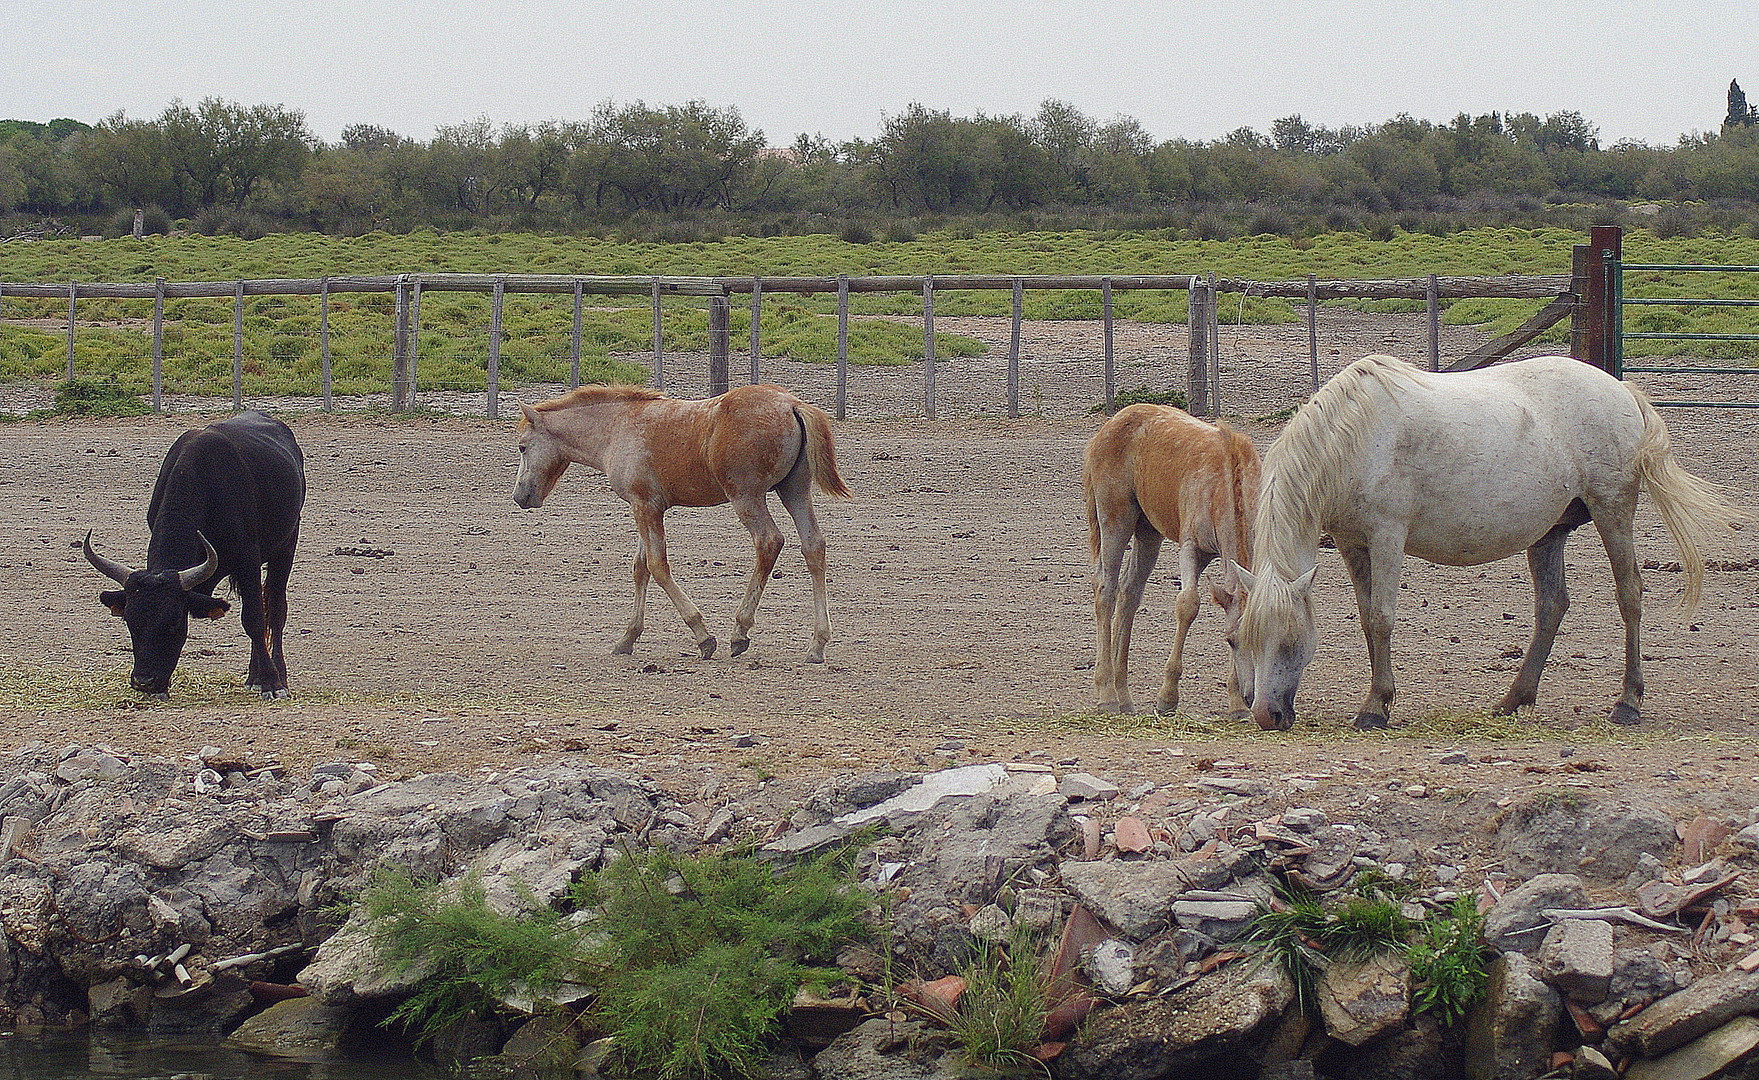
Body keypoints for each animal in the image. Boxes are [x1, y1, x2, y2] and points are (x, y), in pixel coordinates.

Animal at [82, 409, 304, 700]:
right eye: (131, 621)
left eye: (174, 623)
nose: (144, 681)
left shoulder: (248, 561)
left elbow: (254, 619)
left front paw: (271, 682)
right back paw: (252, 676)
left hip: (286, 546)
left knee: (275, 610)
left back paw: (277, 675)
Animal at [510, 385, 851, 664]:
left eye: (523, 447)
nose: (519, 496)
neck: (617, 427)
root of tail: (792, 404)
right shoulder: (643, 506)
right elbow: (641, 567)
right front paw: (627, 638)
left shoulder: (646, 507)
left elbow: (658, 566)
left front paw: (703, 636)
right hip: (793, 490)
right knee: (813, 546)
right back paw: (817, 644)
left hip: (747, 496)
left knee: (769, 542)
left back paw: (739, 632)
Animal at [1083, 406, 1266, 721]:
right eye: (1230, 640)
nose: (1250, 696)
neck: (1225, 481)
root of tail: (1110, 425)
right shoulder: (1193, 548)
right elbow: (1188, 605)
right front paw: (1167, 697)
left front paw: (1236, 705)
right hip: (1115, 522)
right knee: (1106, 589)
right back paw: (1107, 694)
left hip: (1148, 532)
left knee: (1129, 592)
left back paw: (1124, 696)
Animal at [1231, 360, 1751, 731]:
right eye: (1241, 639)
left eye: (1292, 640)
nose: (1266, 716)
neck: (1354, 436)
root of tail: (1623, 392)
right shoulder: (1351, 543)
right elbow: (1365, 620)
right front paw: (1378, 697)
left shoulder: (1386, 538)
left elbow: (1381, 619)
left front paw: (1376, 707)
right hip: (1550, 533)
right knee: (1552, 606)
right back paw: (1514, 699)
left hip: (1613, 511)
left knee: (1630, 596)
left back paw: (1627, 703)